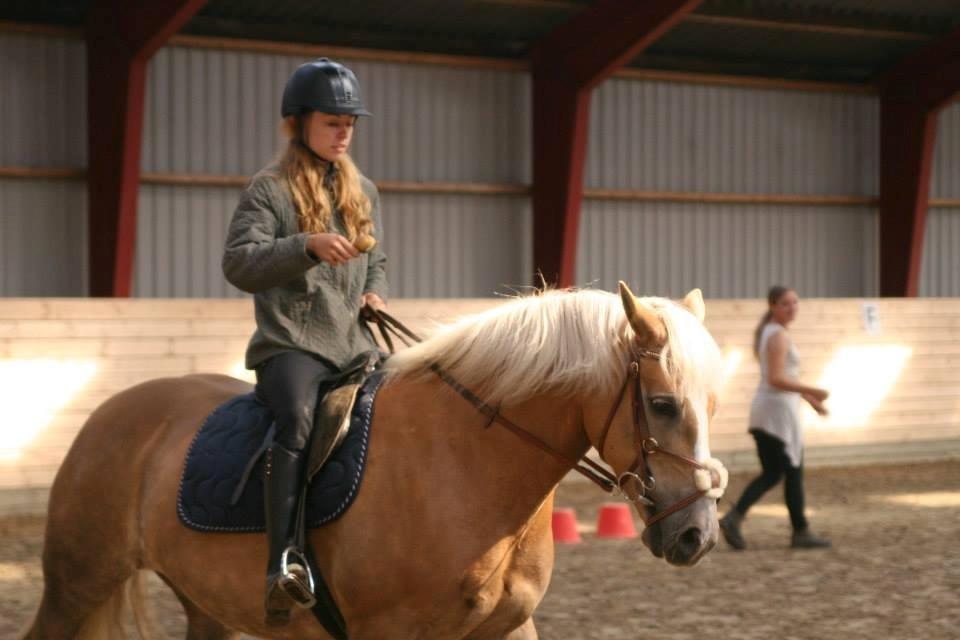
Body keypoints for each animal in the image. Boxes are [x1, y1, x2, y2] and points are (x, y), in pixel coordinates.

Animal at [21, 282, 727, 640]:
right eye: (662, 404)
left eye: (713, 403)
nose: (697, 536)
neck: (468, 464)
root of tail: (111, 411)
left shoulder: (507, 629)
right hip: (76, 583)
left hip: (205, 604)